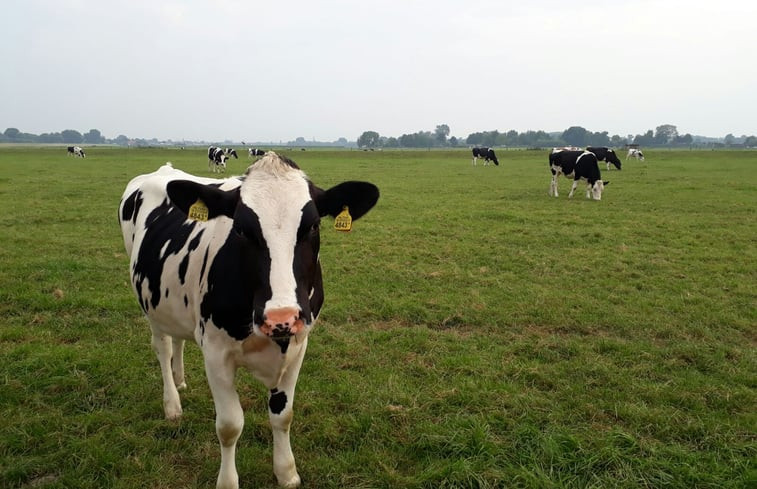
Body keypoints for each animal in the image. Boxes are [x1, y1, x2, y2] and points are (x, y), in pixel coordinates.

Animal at [119, 153, 380, 488]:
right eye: (241, 230)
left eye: (312, 226)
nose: (281, 318)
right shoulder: (216, 353)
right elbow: (230, 425)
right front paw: (228, 481)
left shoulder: (298, 345)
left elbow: (283, 416)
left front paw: (286, 472)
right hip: (150, 303)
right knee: (162, 347)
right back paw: (172, 403)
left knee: (178, 338)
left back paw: (180, 379)